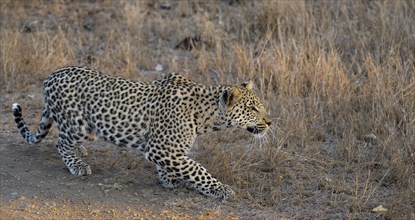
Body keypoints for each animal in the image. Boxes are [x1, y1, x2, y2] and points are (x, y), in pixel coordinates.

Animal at [11, 65, 272, 201]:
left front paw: (169, 178)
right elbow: (197, 169)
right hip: (78, 124)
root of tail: (50, 76)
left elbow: (181, 166)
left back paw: (81, 152)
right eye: (253, 109)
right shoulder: (162, 148)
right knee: (61, 142)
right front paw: (220, 189)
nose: (270, 122)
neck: (207, 115)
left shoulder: (165, 149)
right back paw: (77, 164)